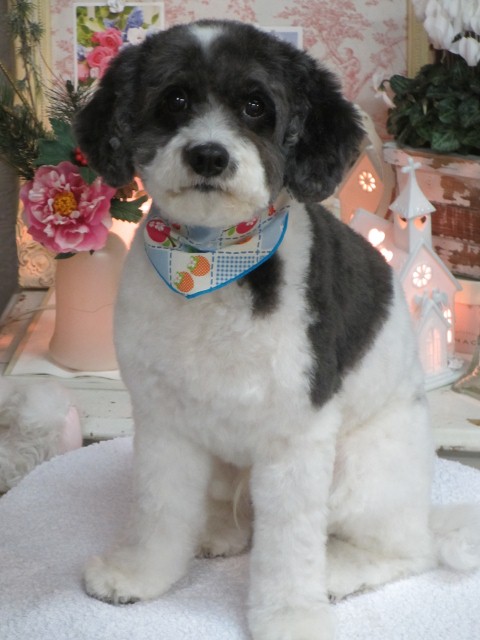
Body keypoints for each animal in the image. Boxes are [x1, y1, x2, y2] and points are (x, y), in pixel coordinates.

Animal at [75, 20, 480, 640]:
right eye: (175, 100)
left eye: (255, 106)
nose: (209, 155)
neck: (213, 262)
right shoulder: (164, 419)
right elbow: (158, 508)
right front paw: (138, 576)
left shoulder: (296, 436)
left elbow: (289, 545)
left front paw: (292, 616)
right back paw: (217, 531)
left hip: (360, 471)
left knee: (406, 551)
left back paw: (338, 571)